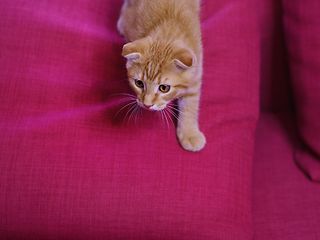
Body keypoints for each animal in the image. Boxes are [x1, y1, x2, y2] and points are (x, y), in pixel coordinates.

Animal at [117, 0, 205, 151]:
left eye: (164, 88)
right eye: (139, 83)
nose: (147, 105)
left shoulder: (196, 71)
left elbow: (190, 103)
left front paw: (190, 134)